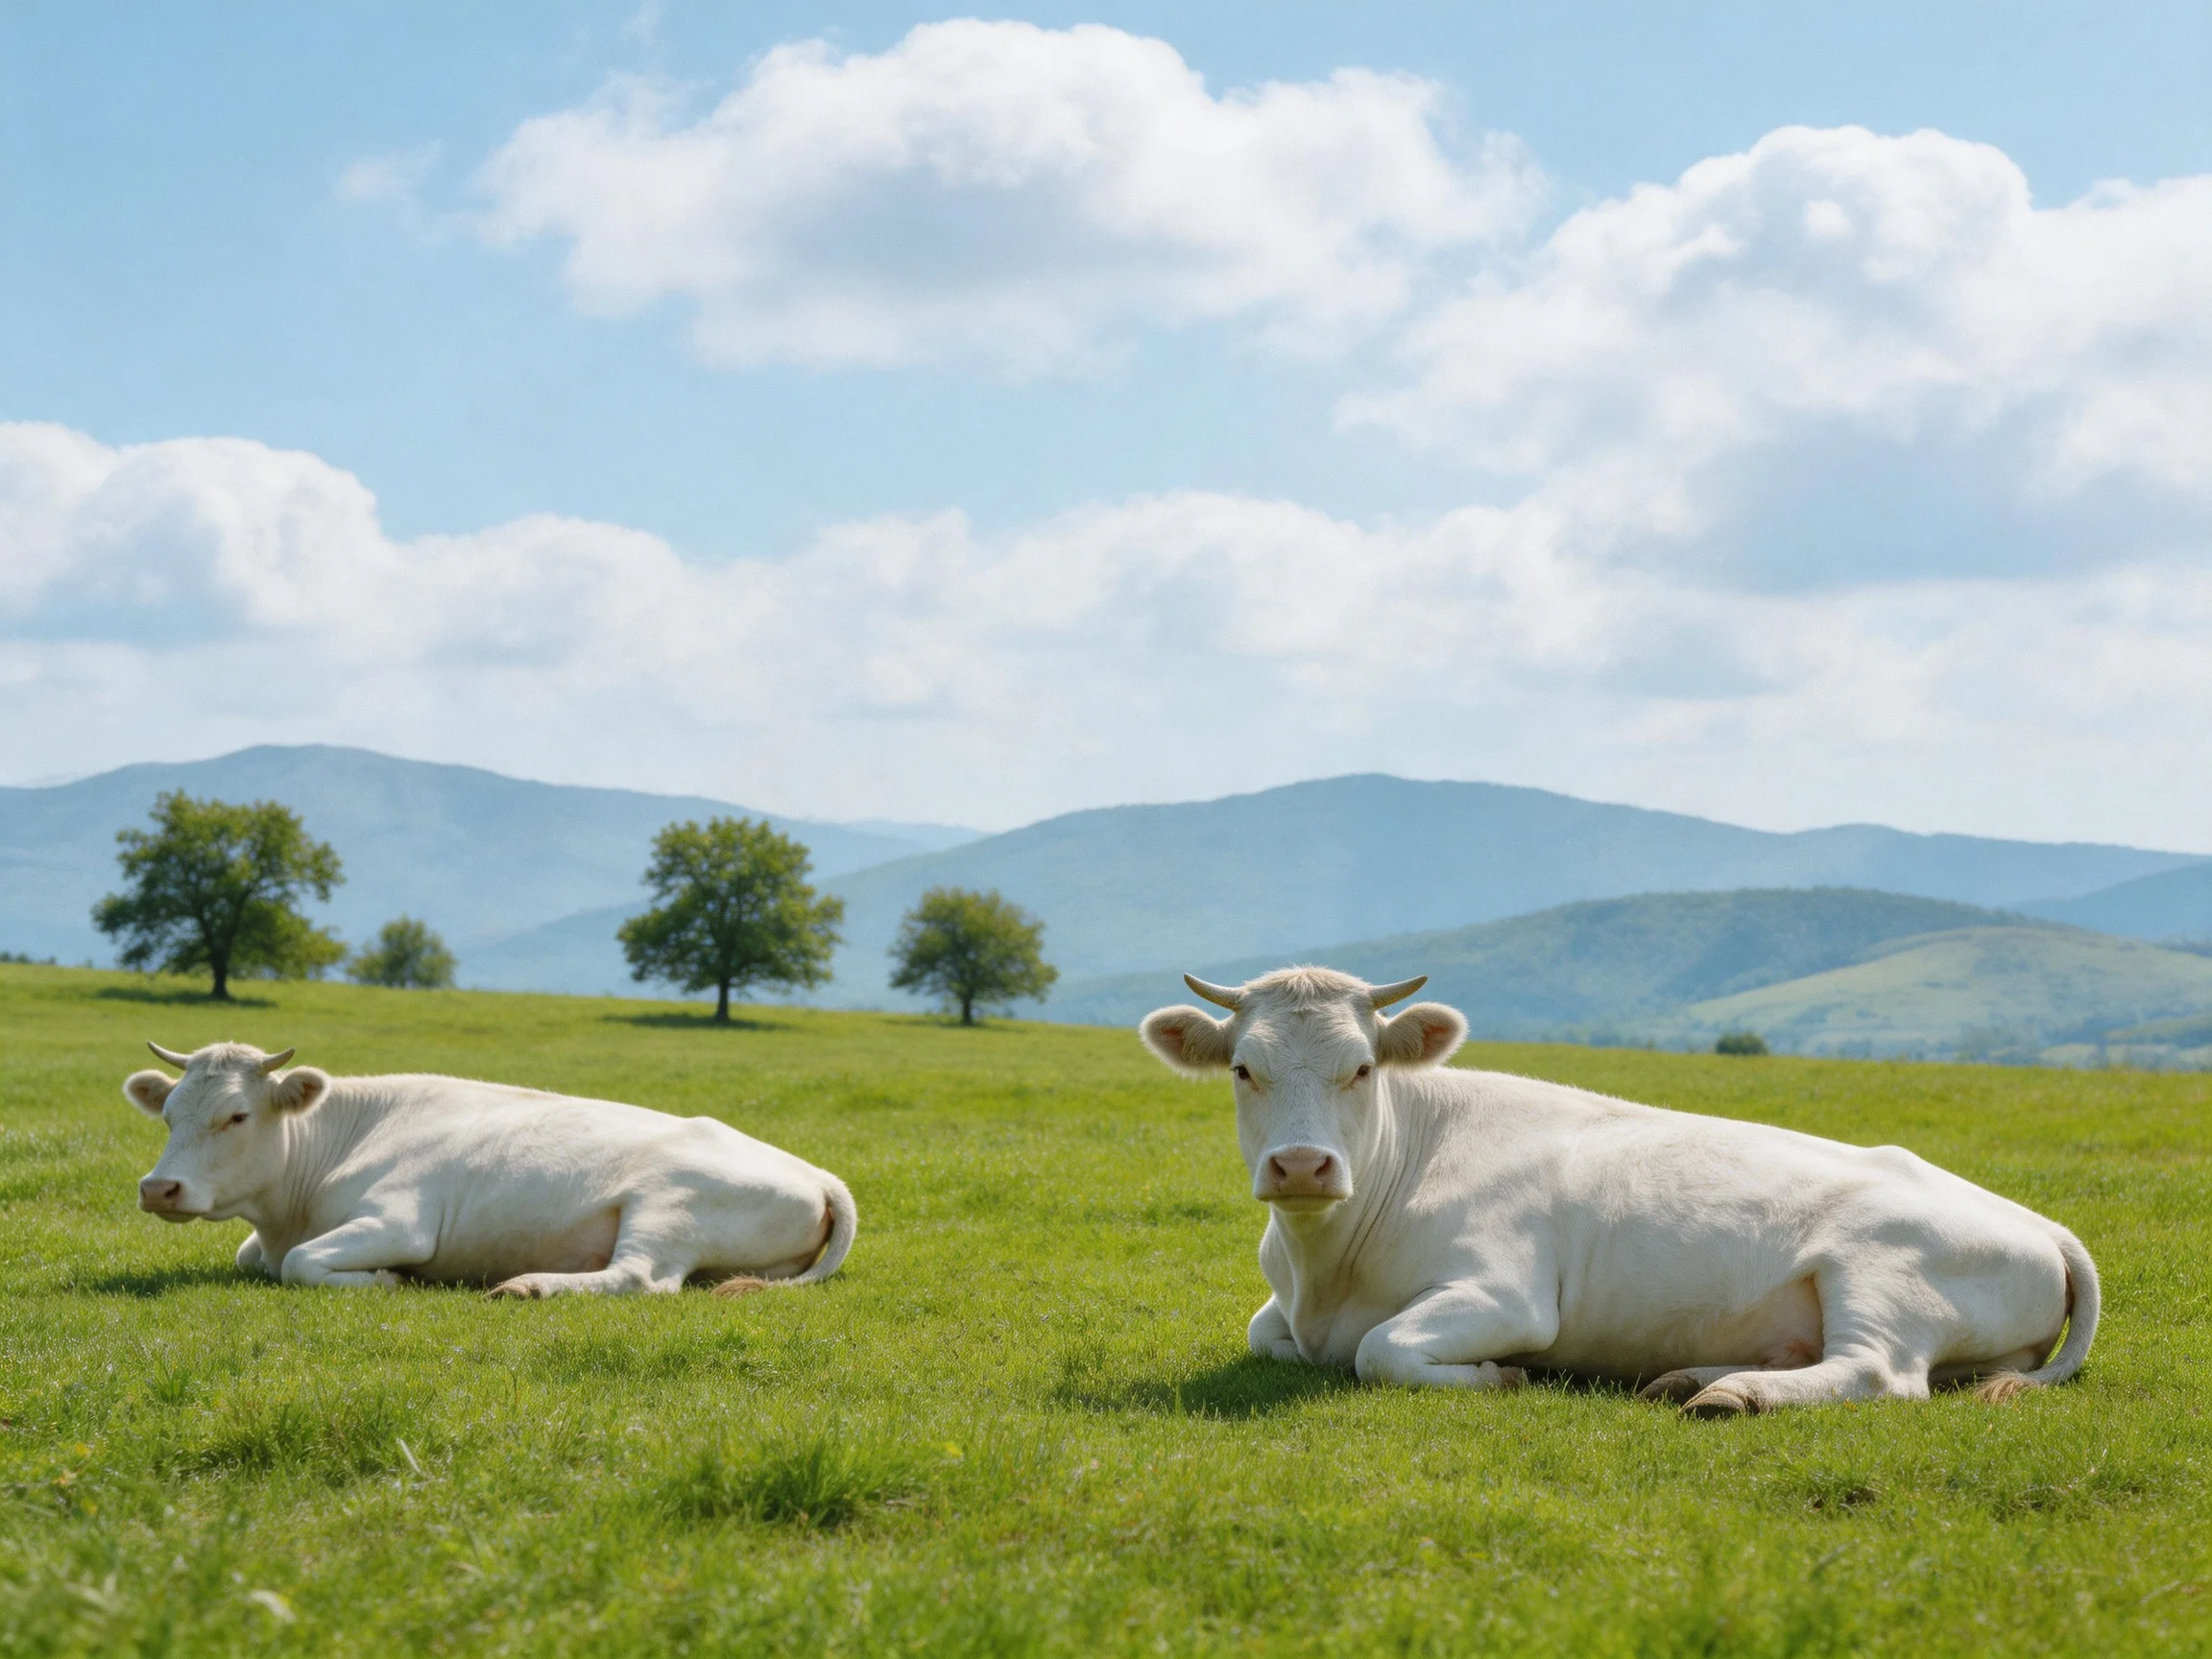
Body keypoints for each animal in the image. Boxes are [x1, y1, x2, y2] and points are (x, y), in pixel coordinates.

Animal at [124, 1041, 855, 1298]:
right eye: (170, 1115)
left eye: (237, 1116)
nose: (159, 1188)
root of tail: (819, 1175)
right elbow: (256, 1258)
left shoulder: (400, 1220)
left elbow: (301, 1264)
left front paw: (387, 1279)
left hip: (664, 1208)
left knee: (642, 1278)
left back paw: (528, 1286)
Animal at [1139, 967, 2097, 1415]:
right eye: (1243, 1068)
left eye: (1363, 1068)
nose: (1302, 1167)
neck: (1326, 1274)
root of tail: (2042, 1224)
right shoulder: (1283, 1312)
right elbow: (1266, 1336)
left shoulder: (1509, 1294)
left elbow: (1382, 1350)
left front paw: (1499, 1376)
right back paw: (1693, 1376)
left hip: (1878, 1272)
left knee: (1877, 1372)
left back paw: (1733, 1395)